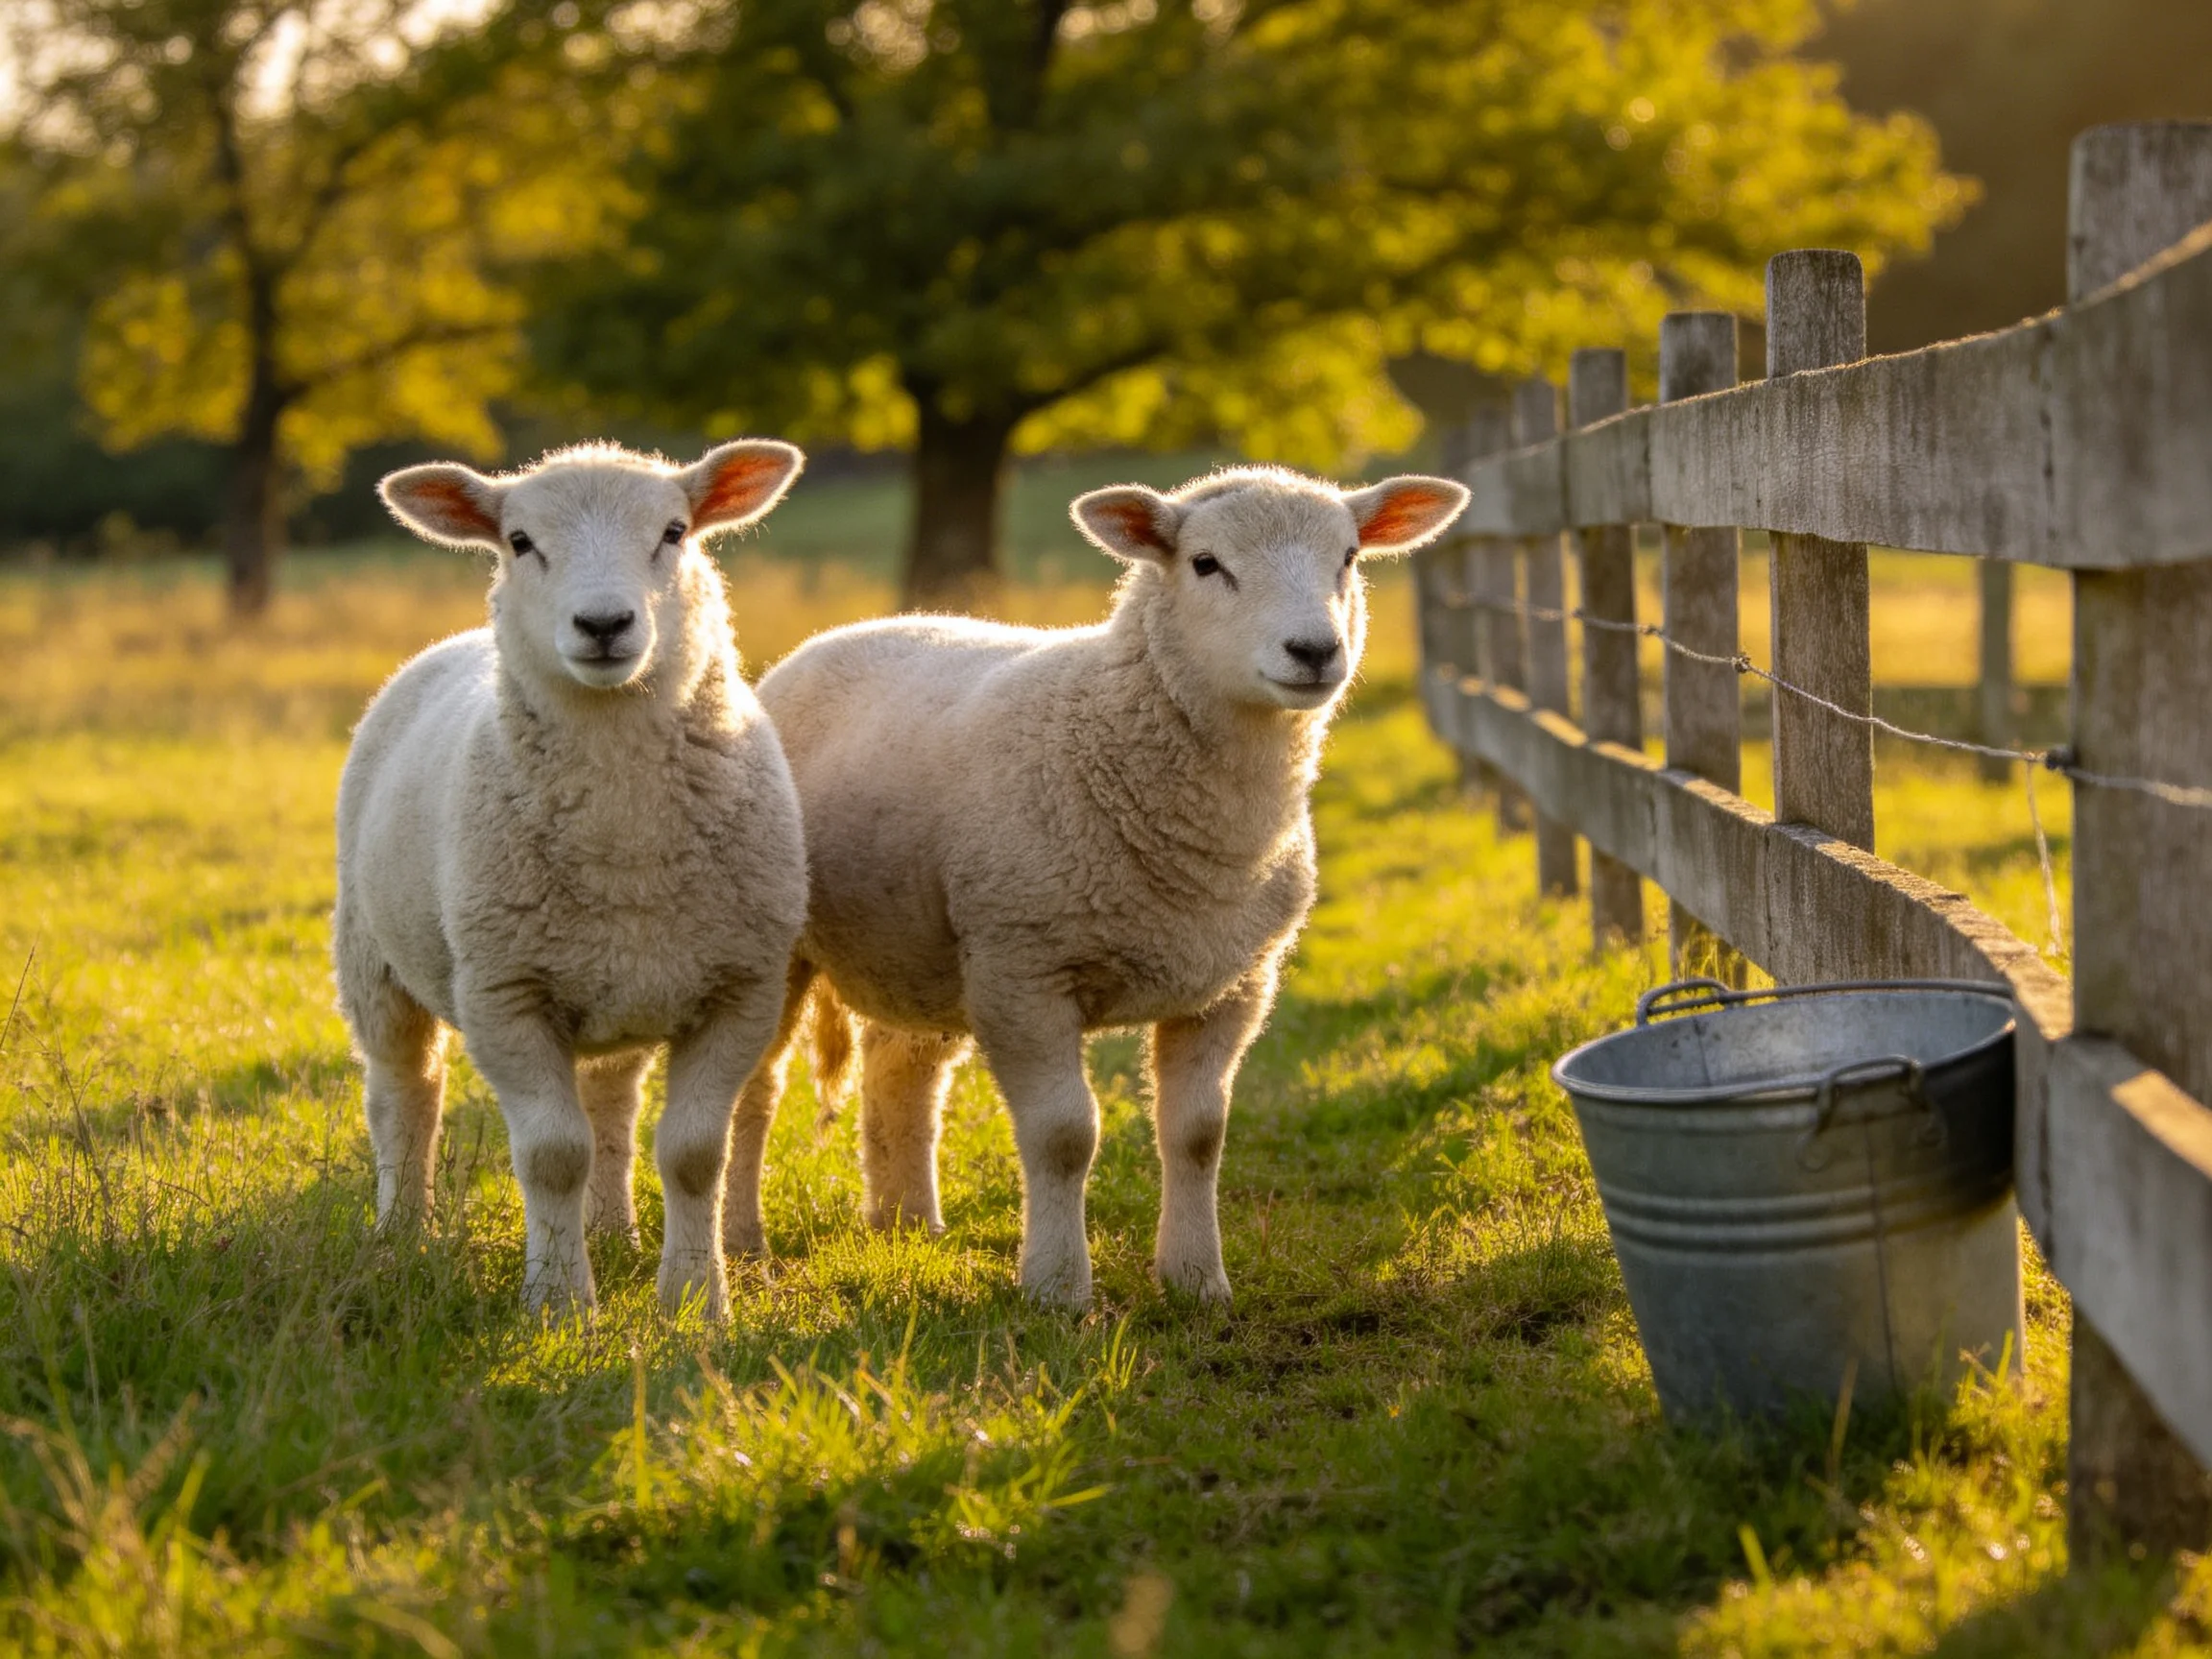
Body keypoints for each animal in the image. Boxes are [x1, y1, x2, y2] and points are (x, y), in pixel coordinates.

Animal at [334, 439, 810, 1319]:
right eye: (519, 541)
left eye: (675, 531)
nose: (603, 625)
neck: (624, 839)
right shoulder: (505, 993)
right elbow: (553, 1154)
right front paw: (559, 1303)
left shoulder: (739, 990)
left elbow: (694, 1153)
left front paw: (695, 1300)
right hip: (371, 958)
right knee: (402, 1092)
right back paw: (402, 1232)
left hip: (619, 988)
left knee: (612, 1105)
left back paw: (615, 1232)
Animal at [712, 464, 1467, 1307]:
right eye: (1206, 563)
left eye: (1348, 557)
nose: (1314, 650)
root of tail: (833, 639)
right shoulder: (1024, 971)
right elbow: (1064, 1136)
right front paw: (1057, 1288)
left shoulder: (1235, 985)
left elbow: (1198, 1134)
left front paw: (1197, 1281)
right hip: (789, 944)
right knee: (756, 1093)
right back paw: (743, 1242)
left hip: (921, 946)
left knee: (901, 1071)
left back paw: (907, 1227)